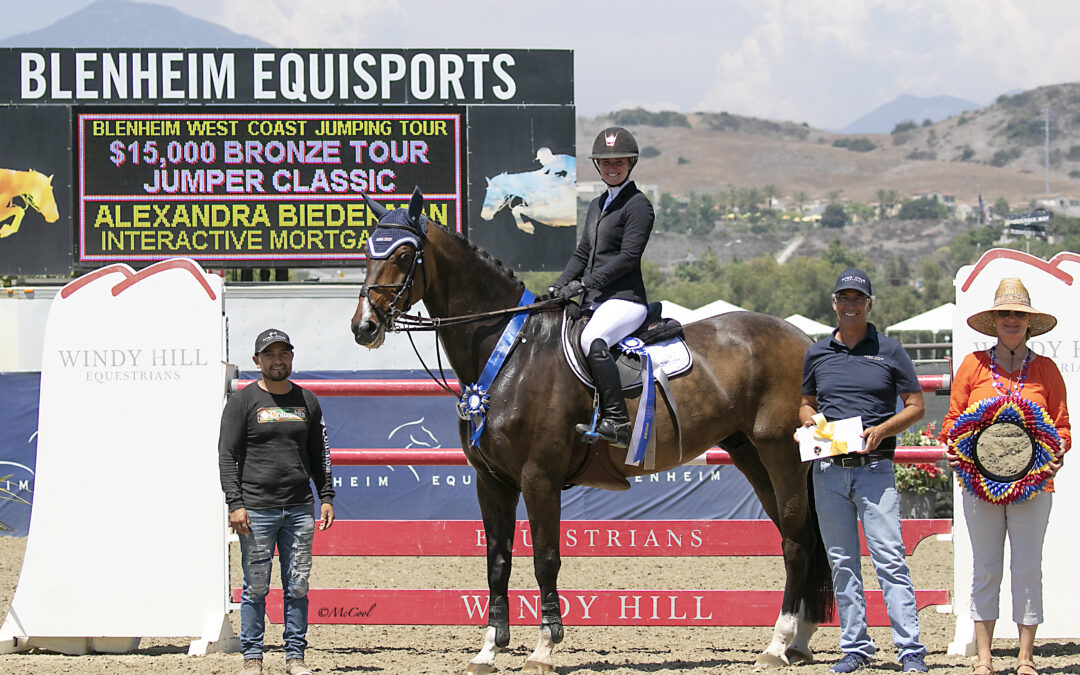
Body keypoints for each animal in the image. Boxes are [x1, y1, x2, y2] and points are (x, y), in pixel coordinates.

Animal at [349, 187, 829, 673]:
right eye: (366, 252)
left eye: (403, 254)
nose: (363, 327)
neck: (511, 349)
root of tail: (804, 340)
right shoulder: (491, 481)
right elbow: (497, 561)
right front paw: (488, 650)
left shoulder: (539, 478)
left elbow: (545, 559)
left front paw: (543, 649)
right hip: (751, 455)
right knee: (804, 537)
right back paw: (800, 642)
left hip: (780, 454)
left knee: (796, 542)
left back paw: (777, 645)